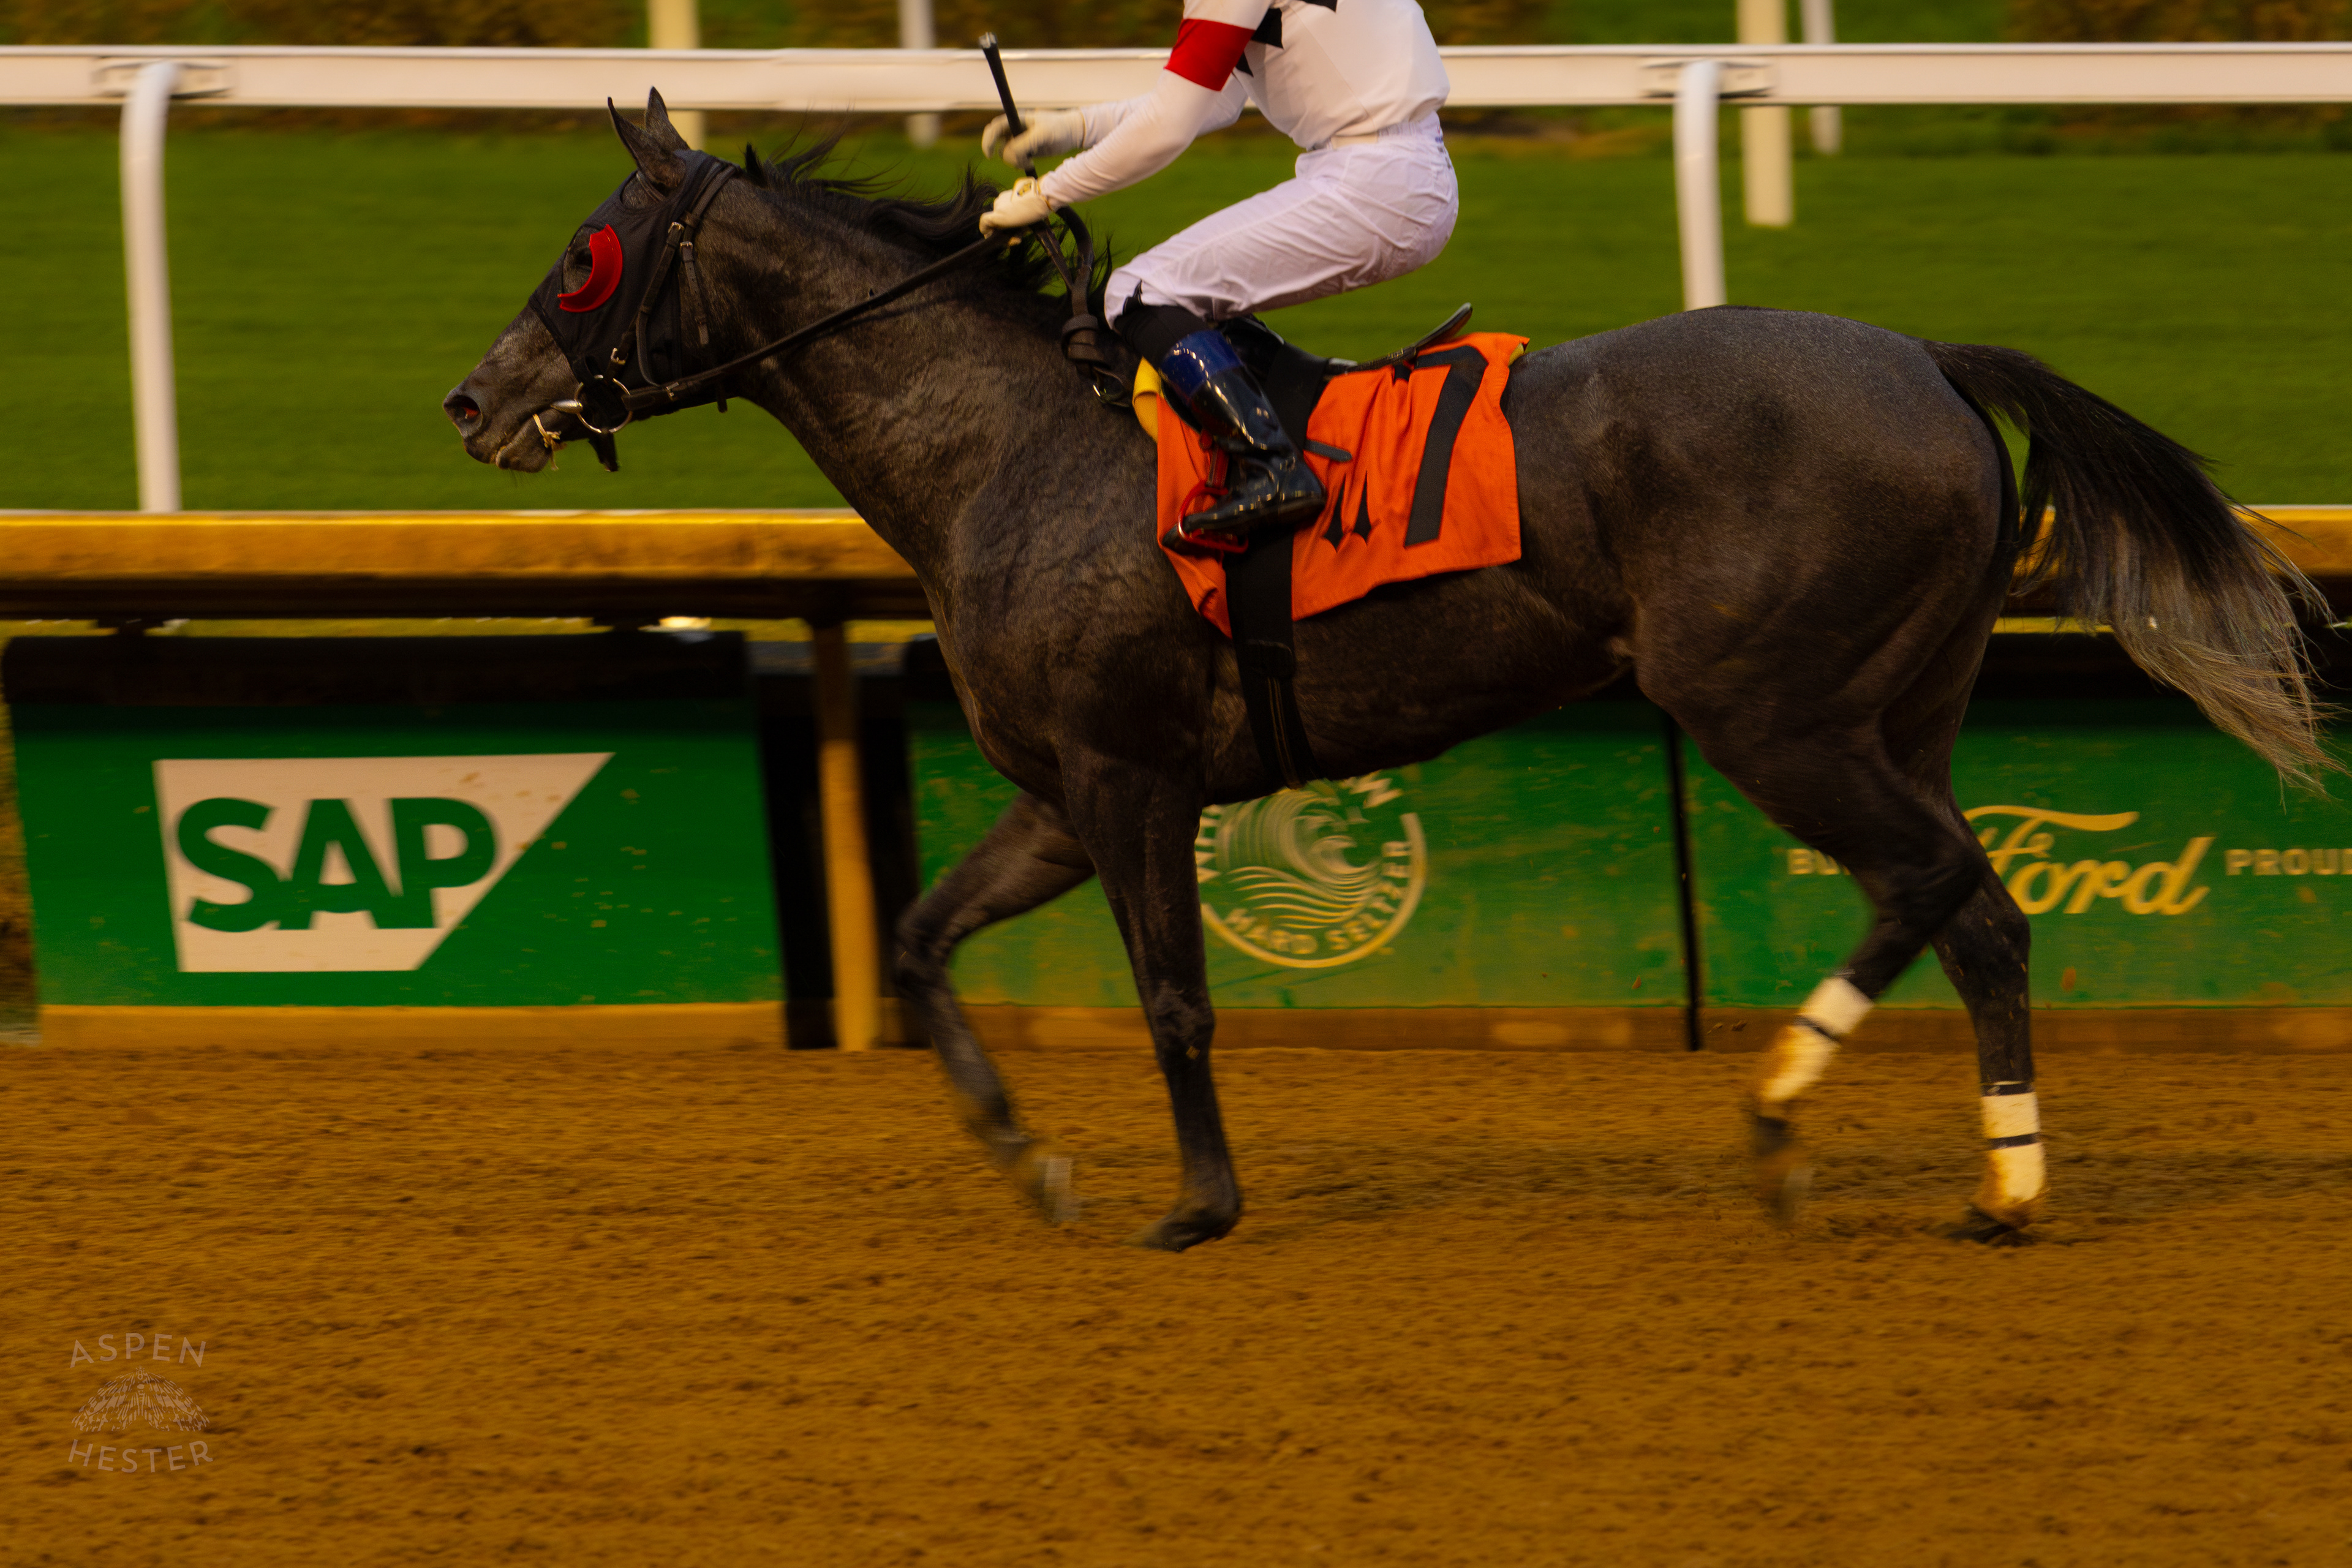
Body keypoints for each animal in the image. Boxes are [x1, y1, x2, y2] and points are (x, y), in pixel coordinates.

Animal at [446, 95, 2326, 1251]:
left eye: (583, 257)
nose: (474, 398)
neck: (1007, 450)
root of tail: (1928, 359)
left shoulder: (1131, 776)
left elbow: (1175, 994)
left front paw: (1197, 1201)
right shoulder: (1058, 792)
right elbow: (915, 940)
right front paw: (1027, 1156)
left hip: (1766, 708)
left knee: (1929, 882)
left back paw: (1780, 1113)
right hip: (1900, 704)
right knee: (1981, 914)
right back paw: (2001, 1187)